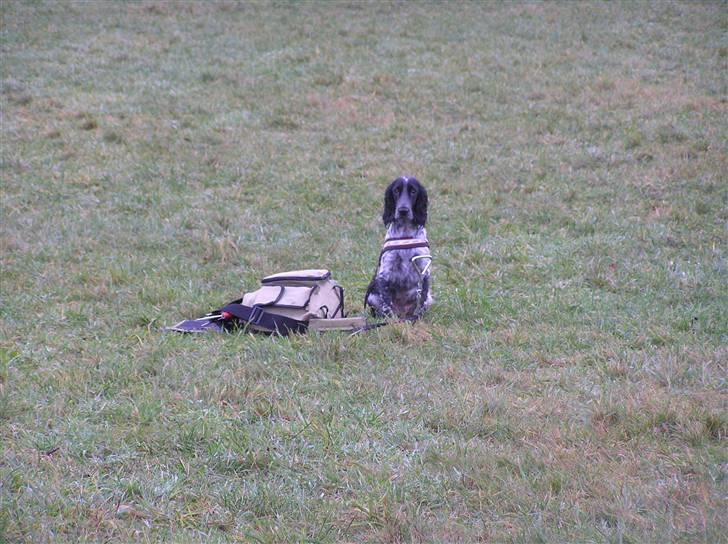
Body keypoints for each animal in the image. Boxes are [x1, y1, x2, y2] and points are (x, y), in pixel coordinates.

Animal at [364, 175, 432, 318]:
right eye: (396, 191)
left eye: (413, 191)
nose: (403, 210)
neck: (405, 233)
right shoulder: (385, 272)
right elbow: (387, 304)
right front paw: (391, 320)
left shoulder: (424, 269)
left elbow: (421, 300)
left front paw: (417, 318)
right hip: (372, 296)